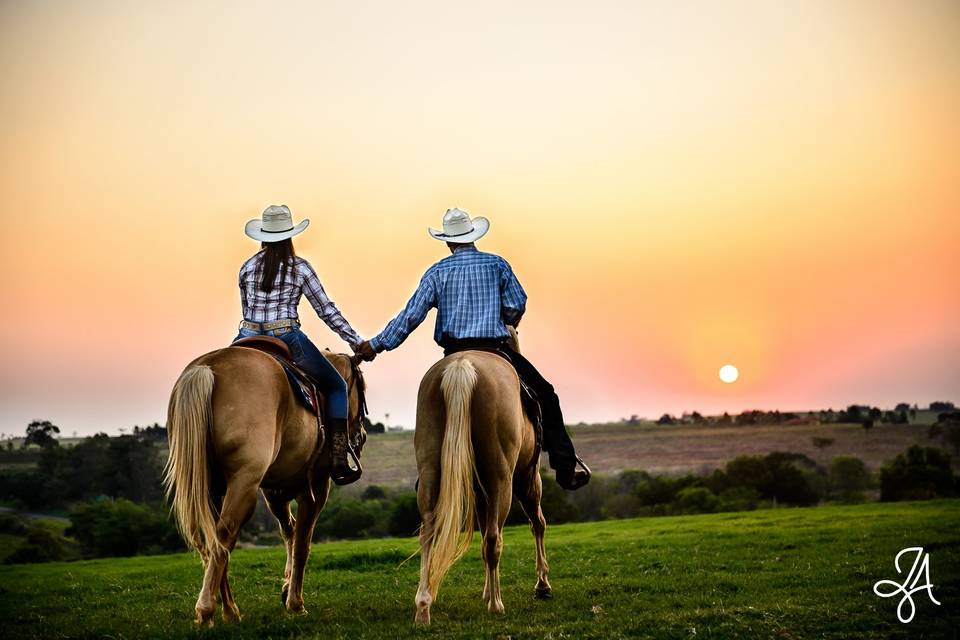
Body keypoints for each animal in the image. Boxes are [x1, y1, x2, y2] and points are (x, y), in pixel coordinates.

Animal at [161, 344, 364, 624]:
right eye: (361, 390)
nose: (362, 435)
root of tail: (207, 369)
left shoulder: (274, 491)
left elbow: (289, 532)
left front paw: (287, 587)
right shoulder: (316, 488)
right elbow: (302, 544)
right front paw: (295, 603)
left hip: (210, 488)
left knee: (213, 541)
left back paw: (229, 610)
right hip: (244, 486)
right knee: (224, 535)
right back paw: (207, 609)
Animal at [410, 330, 548, 624]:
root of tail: (461, 367)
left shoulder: (481, 492)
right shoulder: (528, 477)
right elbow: (537, 523)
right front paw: (542, 584)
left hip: (430, 472)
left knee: (428, 534)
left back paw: (423, 606)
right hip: (502, 480)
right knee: (494, 539)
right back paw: (496, 604)